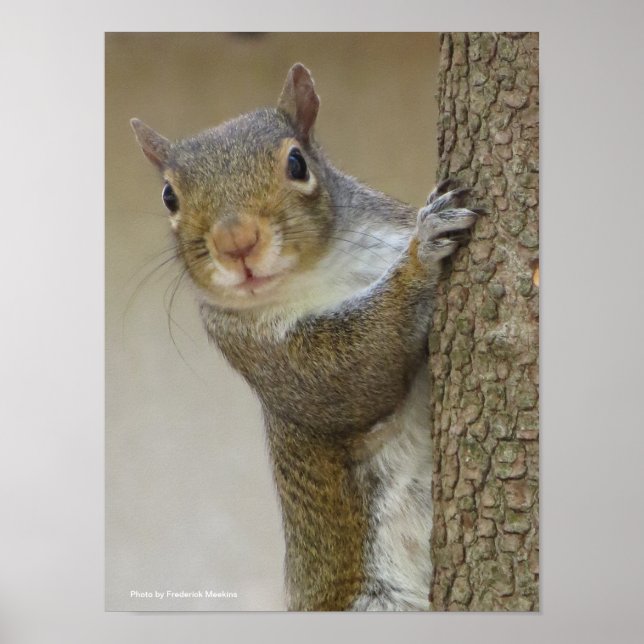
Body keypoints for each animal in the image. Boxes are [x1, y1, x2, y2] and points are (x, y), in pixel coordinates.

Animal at [131, 63, 476, 611]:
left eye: (297, 162)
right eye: (169, 197)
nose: (236, 242)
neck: (324, 266)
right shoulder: (265, 354)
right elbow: (350, 376)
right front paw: (422, 253)